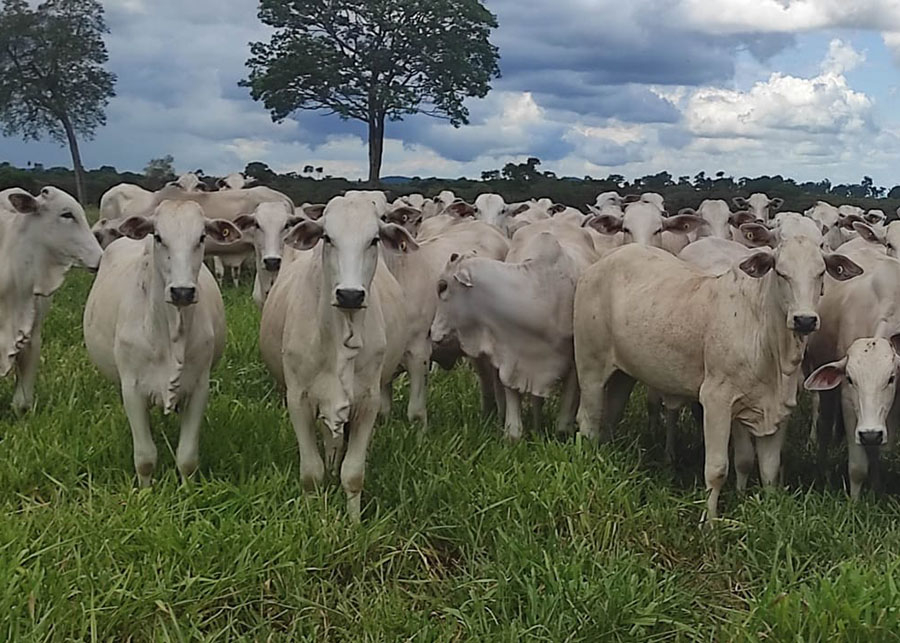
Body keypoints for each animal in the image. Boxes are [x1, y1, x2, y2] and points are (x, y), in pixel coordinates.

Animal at [83, 201, 240, 485]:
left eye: (201, 237)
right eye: (158, 237)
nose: (182, 291)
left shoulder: (199, 387)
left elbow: (187, 457)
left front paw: (187, 490)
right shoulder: (132, 389)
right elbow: (145, 457)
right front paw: (145, 490)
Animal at [259, 195, 417, 522]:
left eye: (374, 239)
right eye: (327, 238)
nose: (350, 294)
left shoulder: (368, 402)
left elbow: (353, 473)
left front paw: (354, 523)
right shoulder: (298, 399)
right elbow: (311, 472)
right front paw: (312, 516)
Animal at [574, 238, 863, 520]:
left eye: (820, 273)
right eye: (781, 272)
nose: (804, 320)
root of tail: (597, 267)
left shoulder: (777, 411)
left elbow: (768, 470)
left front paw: (769, 512)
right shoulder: (716, 401)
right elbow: (717, 469)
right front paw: (709, 522)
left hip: (623, 376)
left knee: (610, 415)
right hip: (590, 368)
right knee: (588, 420)